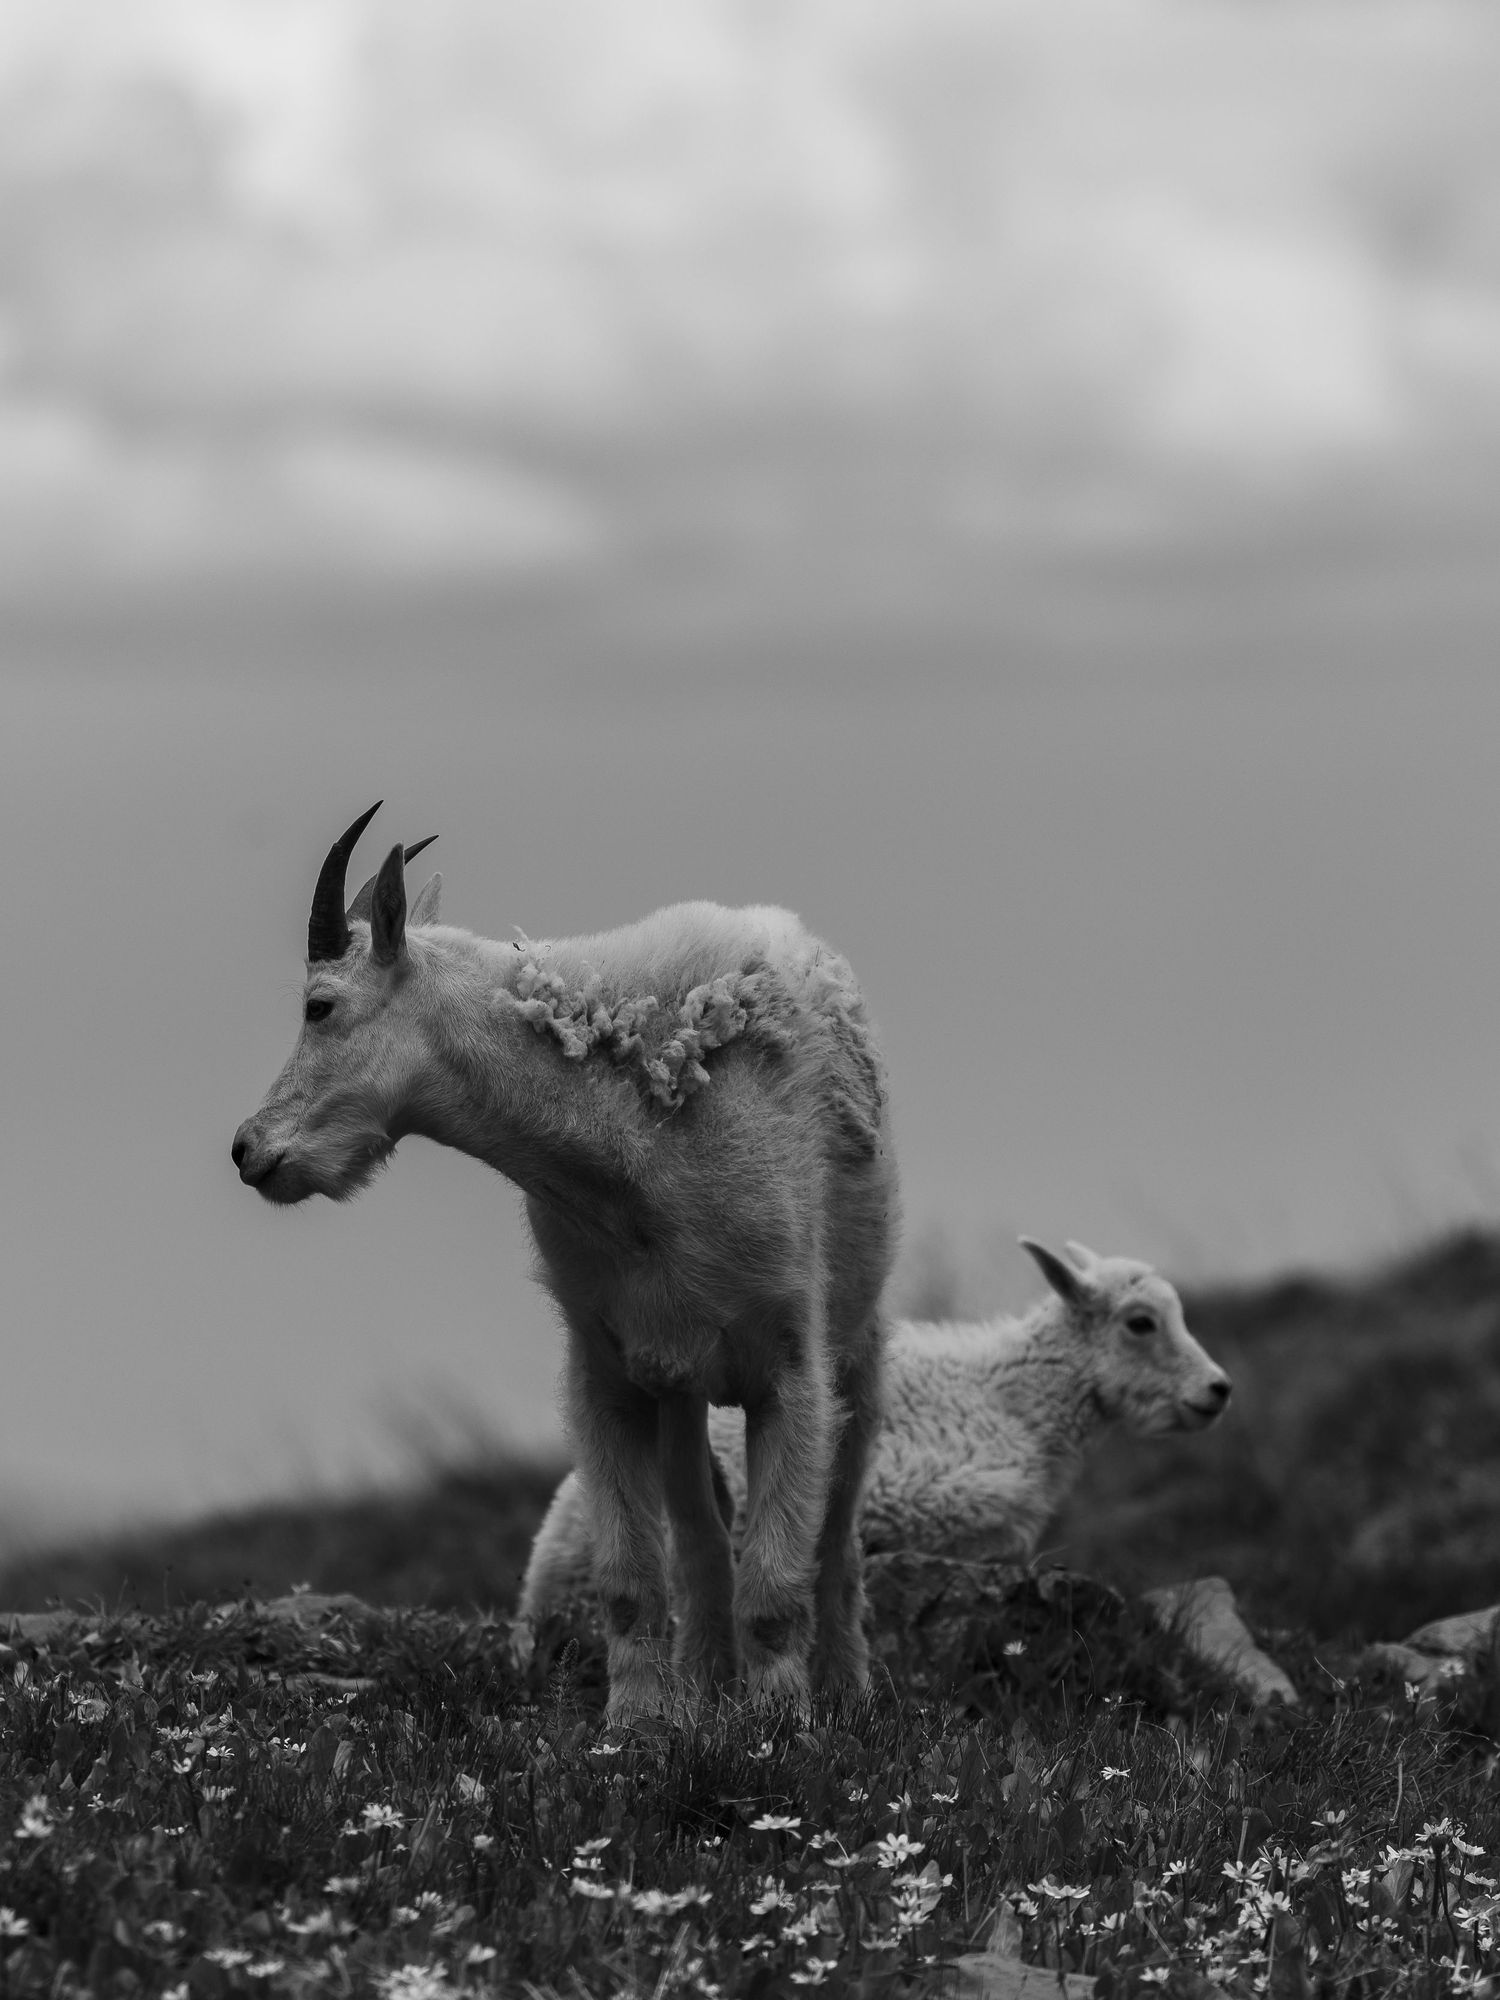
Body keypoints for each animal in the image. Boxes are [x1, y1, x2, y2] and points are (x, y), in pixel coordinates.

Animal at [231, 804, 898, 1722]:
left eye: (320, 1005)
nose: (249, 1150)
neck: (632, 1149)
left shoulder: (791, 1363)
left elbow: (776, 1582)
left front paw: (779, 1724)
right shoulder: (607, 1363)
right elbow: (631, 1578)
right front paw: (639, 1723)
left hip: (859, 1341)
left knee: (838, 1529)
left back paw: (846, 1687)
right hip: (681, 1386)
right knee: (700, 1533)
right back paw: (704, 1686)